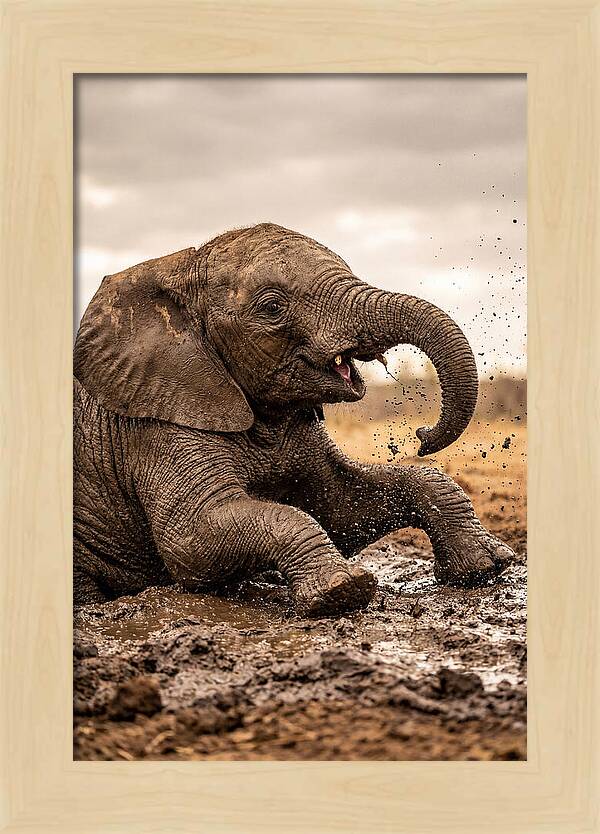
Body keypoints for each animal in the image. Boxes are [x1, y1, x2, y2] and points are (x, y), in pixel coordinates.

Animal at [73, 222, 514, 616]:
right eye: (272, 307)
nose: (422, 436)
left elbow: (342, 507)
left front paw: (487, 566)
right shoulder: (157, 425)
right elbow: (192, 541)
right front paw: (342, 590)